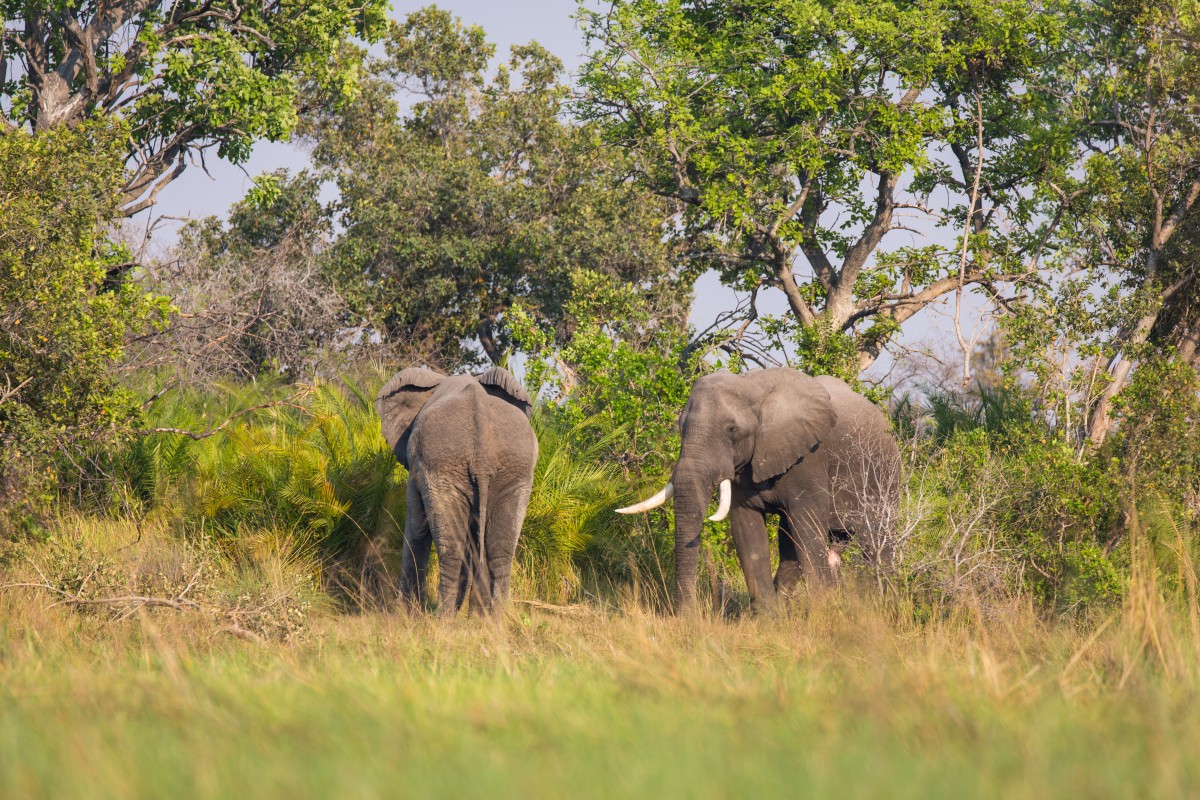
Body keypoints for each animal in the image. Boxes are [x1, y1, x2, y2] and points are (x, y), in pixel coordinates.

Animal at [376, 367, 537, 618]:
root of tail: (482, 454)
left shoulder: (419, 466)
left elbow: (416, 526)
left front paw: (403, 614)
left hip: (444, 467)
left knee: (451, 546)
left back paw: (443, 619)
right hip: (514, 469)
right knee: (500, 548)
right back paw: (494, 620)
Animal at [619, 367, 902, 618]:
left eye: (731, 429)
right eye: (680, 426)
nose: (690, 621)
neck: (751, 387)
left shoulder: (809, 460)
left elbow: (807, 530)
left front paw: (823, 615)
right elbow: (748, 532)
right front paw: (766, 619)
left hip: (885, 477)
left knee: (875, 541)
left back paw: (884, 602)